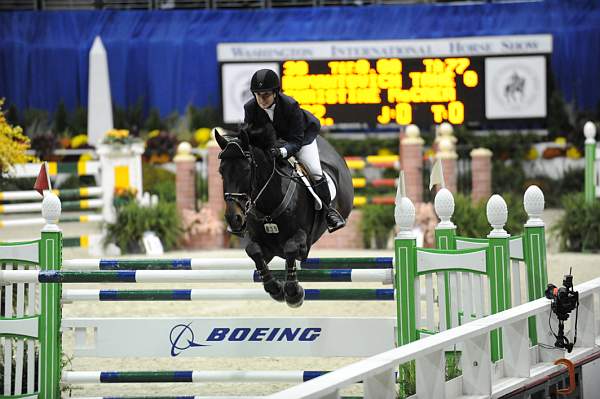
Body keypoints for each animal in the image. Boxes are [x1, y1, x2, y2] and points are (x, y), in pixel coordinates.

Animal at [213, 126, 354, 308]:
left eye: (246, 170)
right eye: (221, 171)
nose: (233, 218)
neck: (268, 206)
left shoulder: (303, 242)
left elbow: (290, 249)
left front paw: (293, 293)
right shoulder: (264, 246)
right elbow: (254, 251)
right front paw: (275, 288)